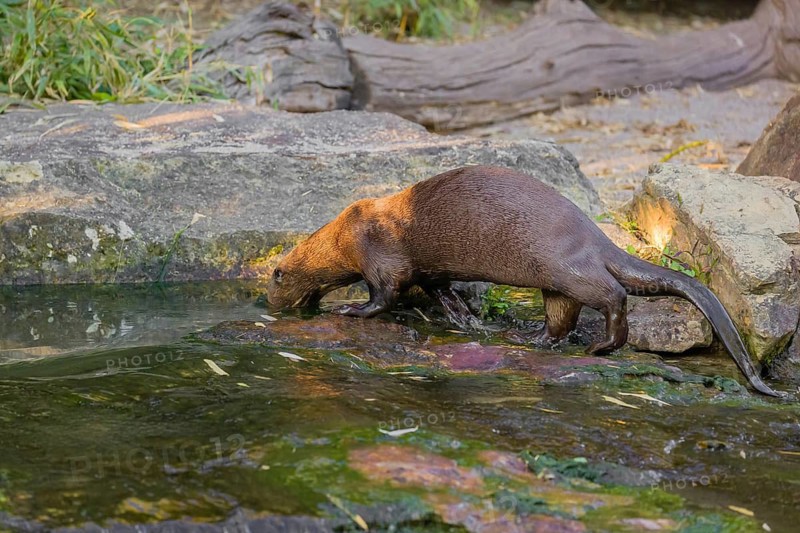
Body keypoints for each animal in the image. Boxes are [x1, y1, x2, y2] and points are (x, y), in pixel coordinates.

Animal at [267, 166, 781, 396]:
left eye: (274, 283)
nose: (273, 305)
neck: (346, 236)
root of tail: (594, 236)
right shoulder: (429, 271)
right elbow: (439, 289)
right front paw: (465, 318)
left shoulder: (381, 256)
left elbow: (385, 294)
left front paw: (350, 308)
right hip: (554, 283)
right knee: (561, 317)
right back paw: (534, 338)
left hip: (565, 266)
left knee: (612, 295)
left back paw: (601, 345)